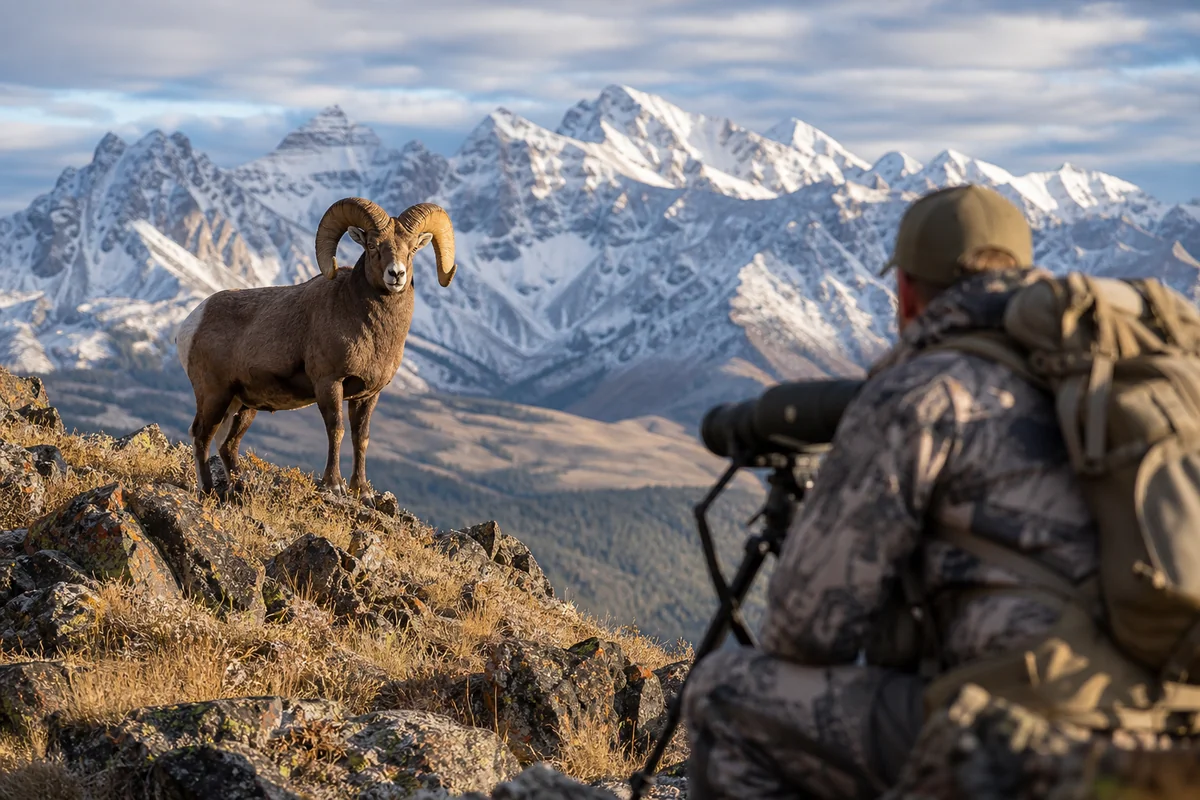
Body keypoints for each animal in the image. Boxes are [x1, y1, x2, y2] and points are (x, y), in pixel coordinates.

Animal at [174, 197, 457, 498]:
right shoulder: (329, 383)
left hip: (242, 404)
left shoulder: (368, 395)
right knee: (201, 435)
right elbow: (336, 430)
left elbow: (361, 437)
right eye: (372, 246)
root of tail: (192, 322)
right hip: (214, 394)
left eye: (413, 248)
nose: (396, 274)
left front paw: (362, 492)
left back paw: (239, 487)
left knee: (226, 443)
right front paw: (334, 485)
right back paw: (207, 490)